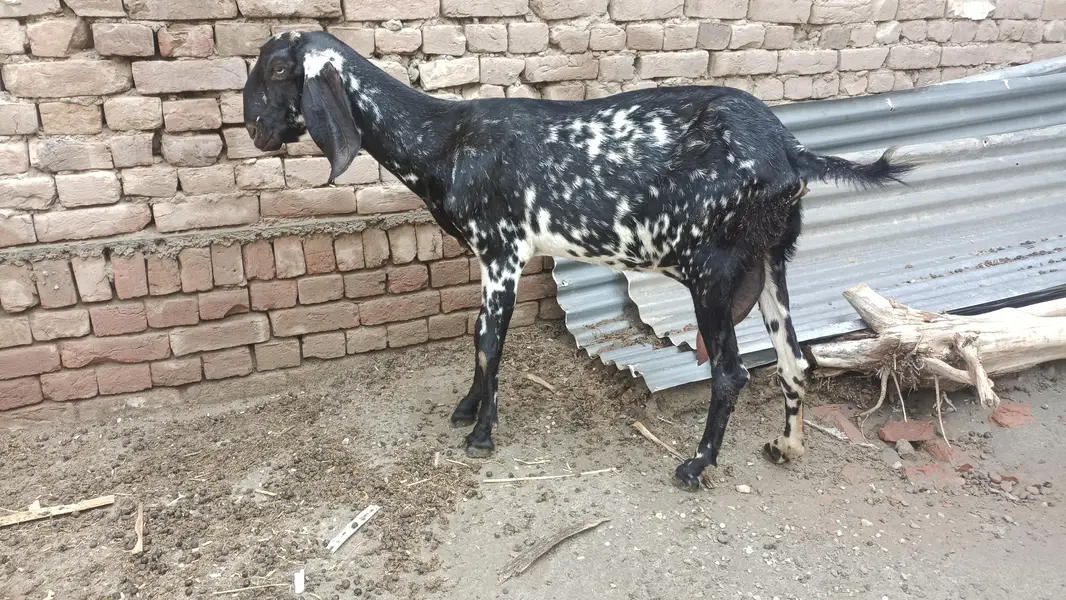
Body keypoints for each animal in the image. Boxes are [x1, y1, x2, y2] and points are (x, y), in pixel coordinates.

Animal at [244, 31, 913, 491]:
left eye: (278, 68)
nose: (252, 128)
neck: (446, 137)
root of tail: (790, 151)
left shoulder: (503, 251)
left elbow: (489, 340)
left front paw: (481, 434)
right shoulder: (491, 257)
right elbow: (478, 335)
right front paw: (466, 410)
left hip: (713, 270)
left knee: (731, 371)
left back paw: (695, 466)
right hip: (771, 259)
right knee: (794, 359)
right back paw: (787, 446)